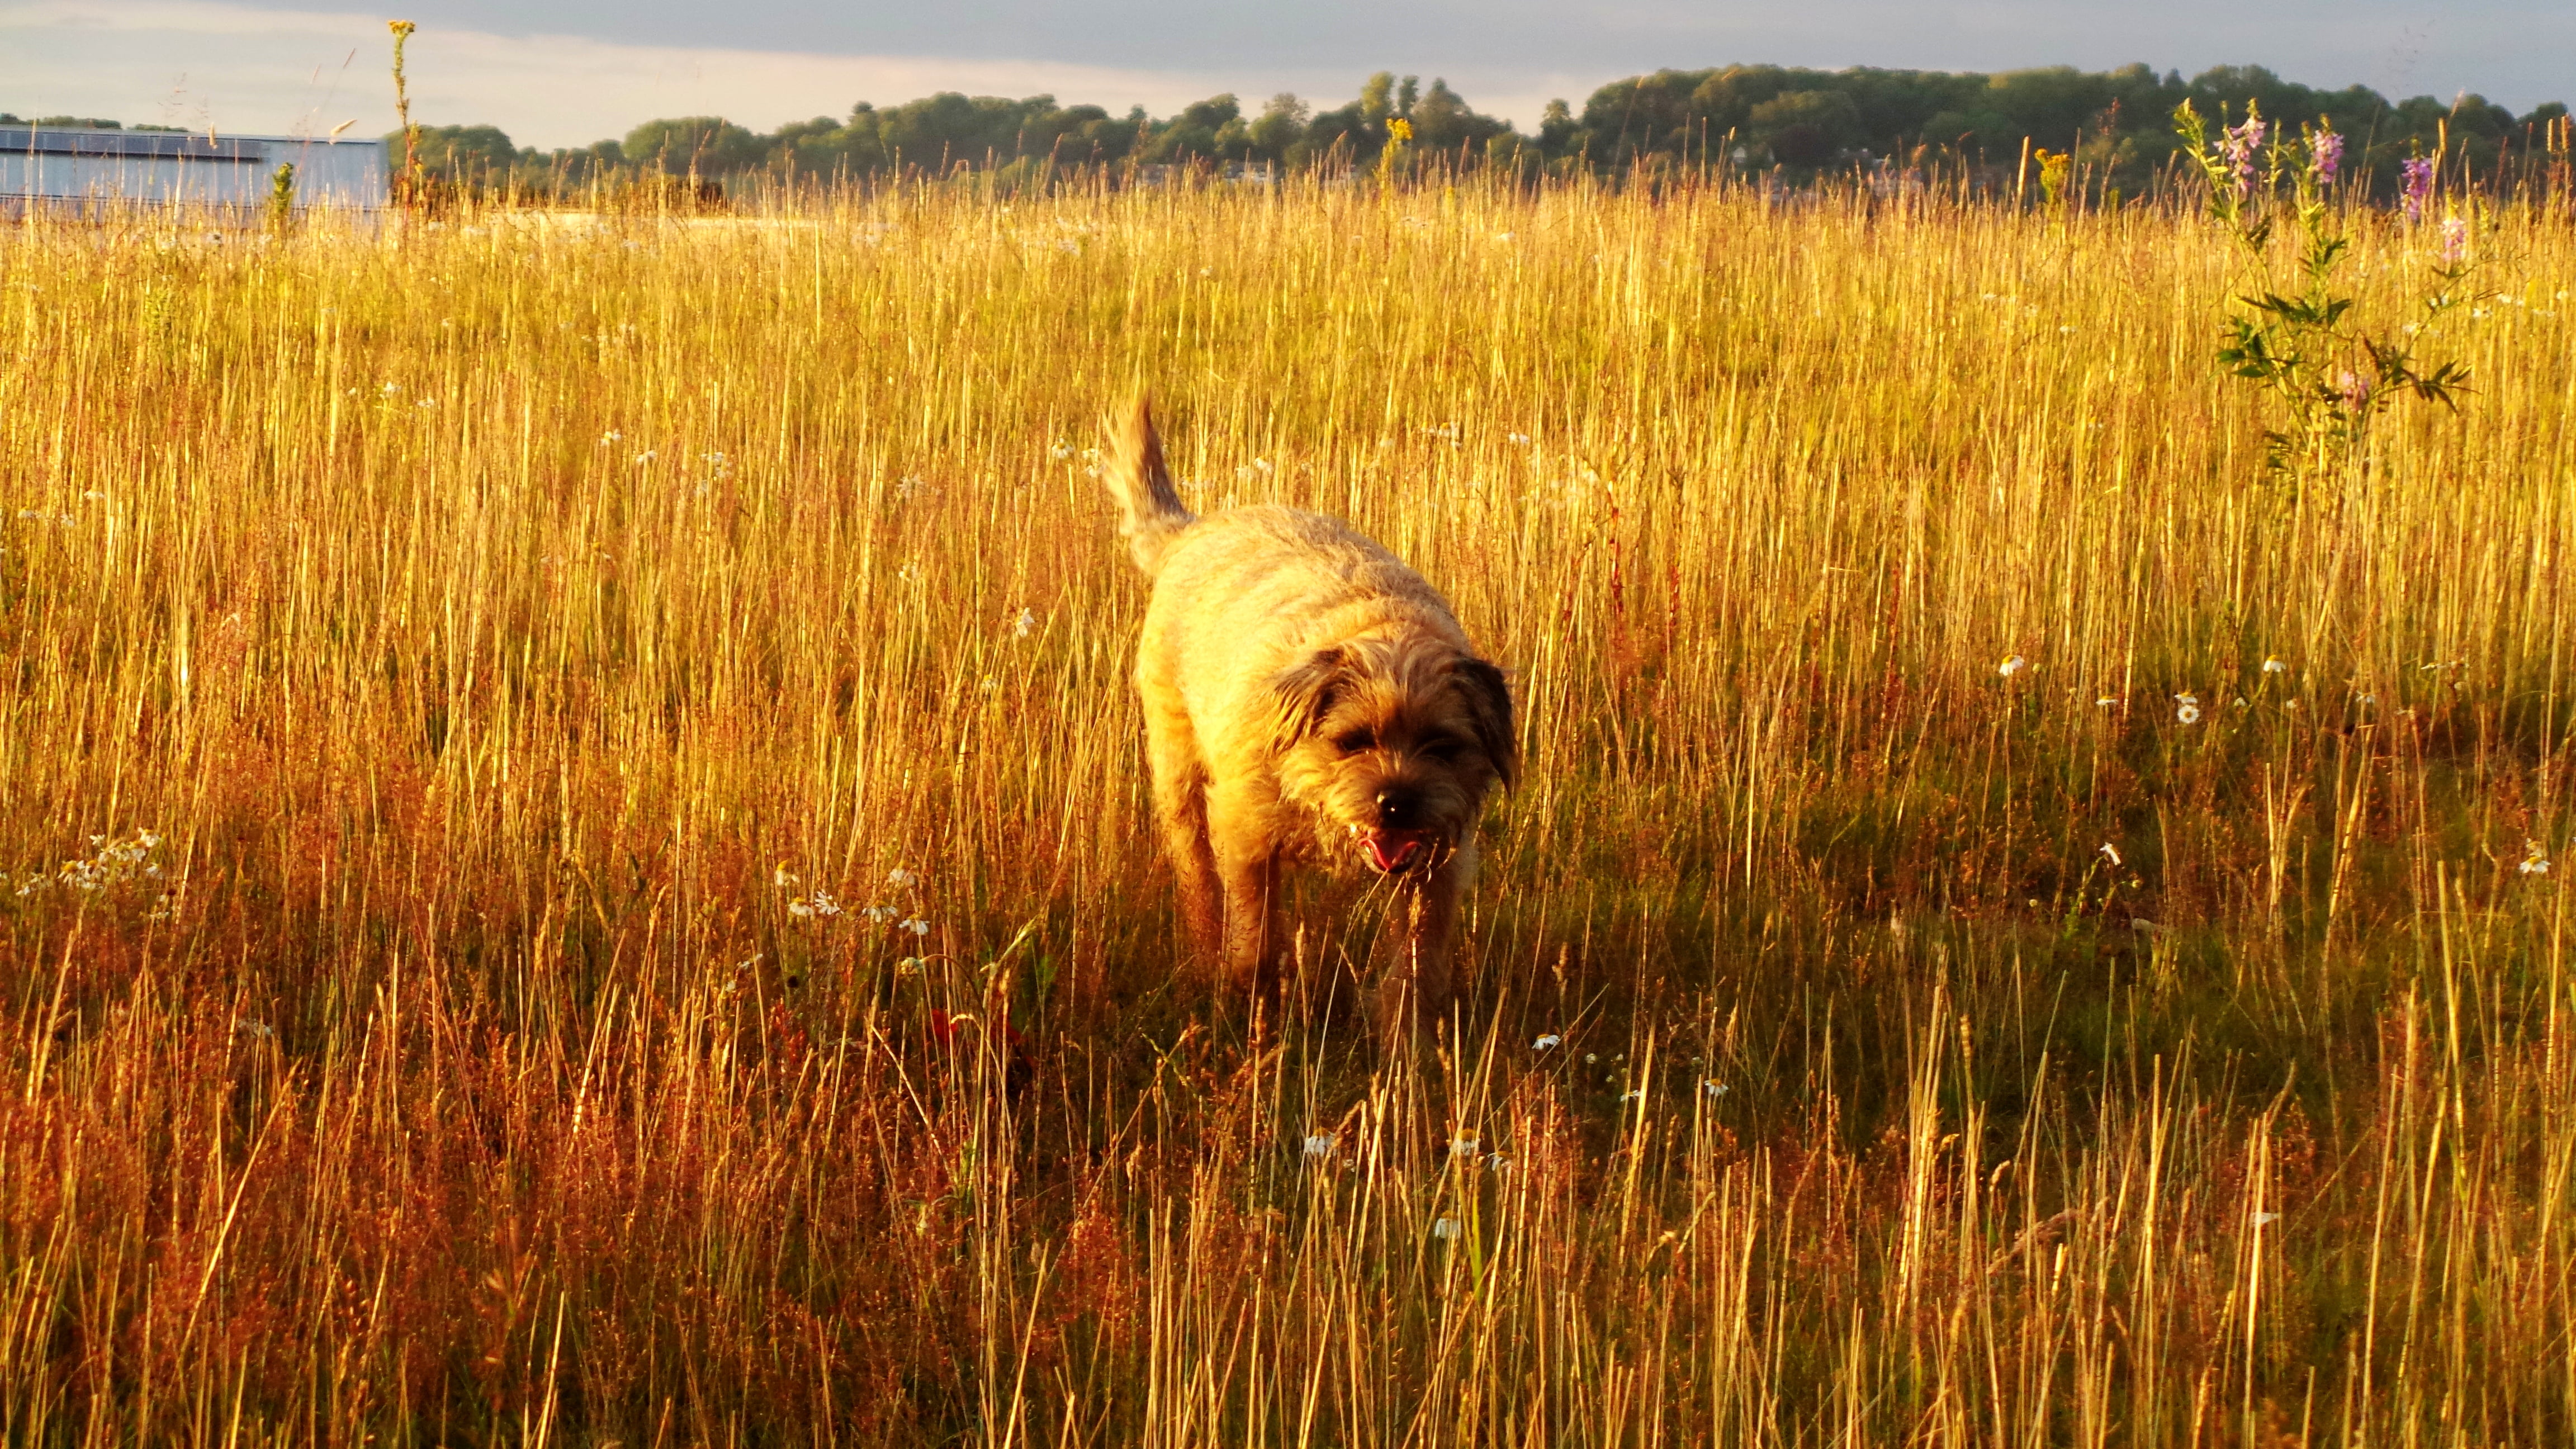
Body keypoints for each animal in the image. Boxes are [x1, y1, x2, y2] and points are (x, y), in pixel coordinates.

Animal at [1102, 389, 1504, 1031]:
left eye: (1443, 746)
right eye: (1352, 741)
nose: (1397, 801)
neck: (1384, 637)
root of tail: (1194, 530)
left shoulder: (1440, 862)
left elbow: (1417, 962)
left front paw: (1406, 1042)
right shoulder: (1245, 835)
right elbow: (1256, 939)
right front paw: (1254, 1009)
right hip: (1177, 772)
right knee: (1195, 870)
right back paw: (1204, 947)